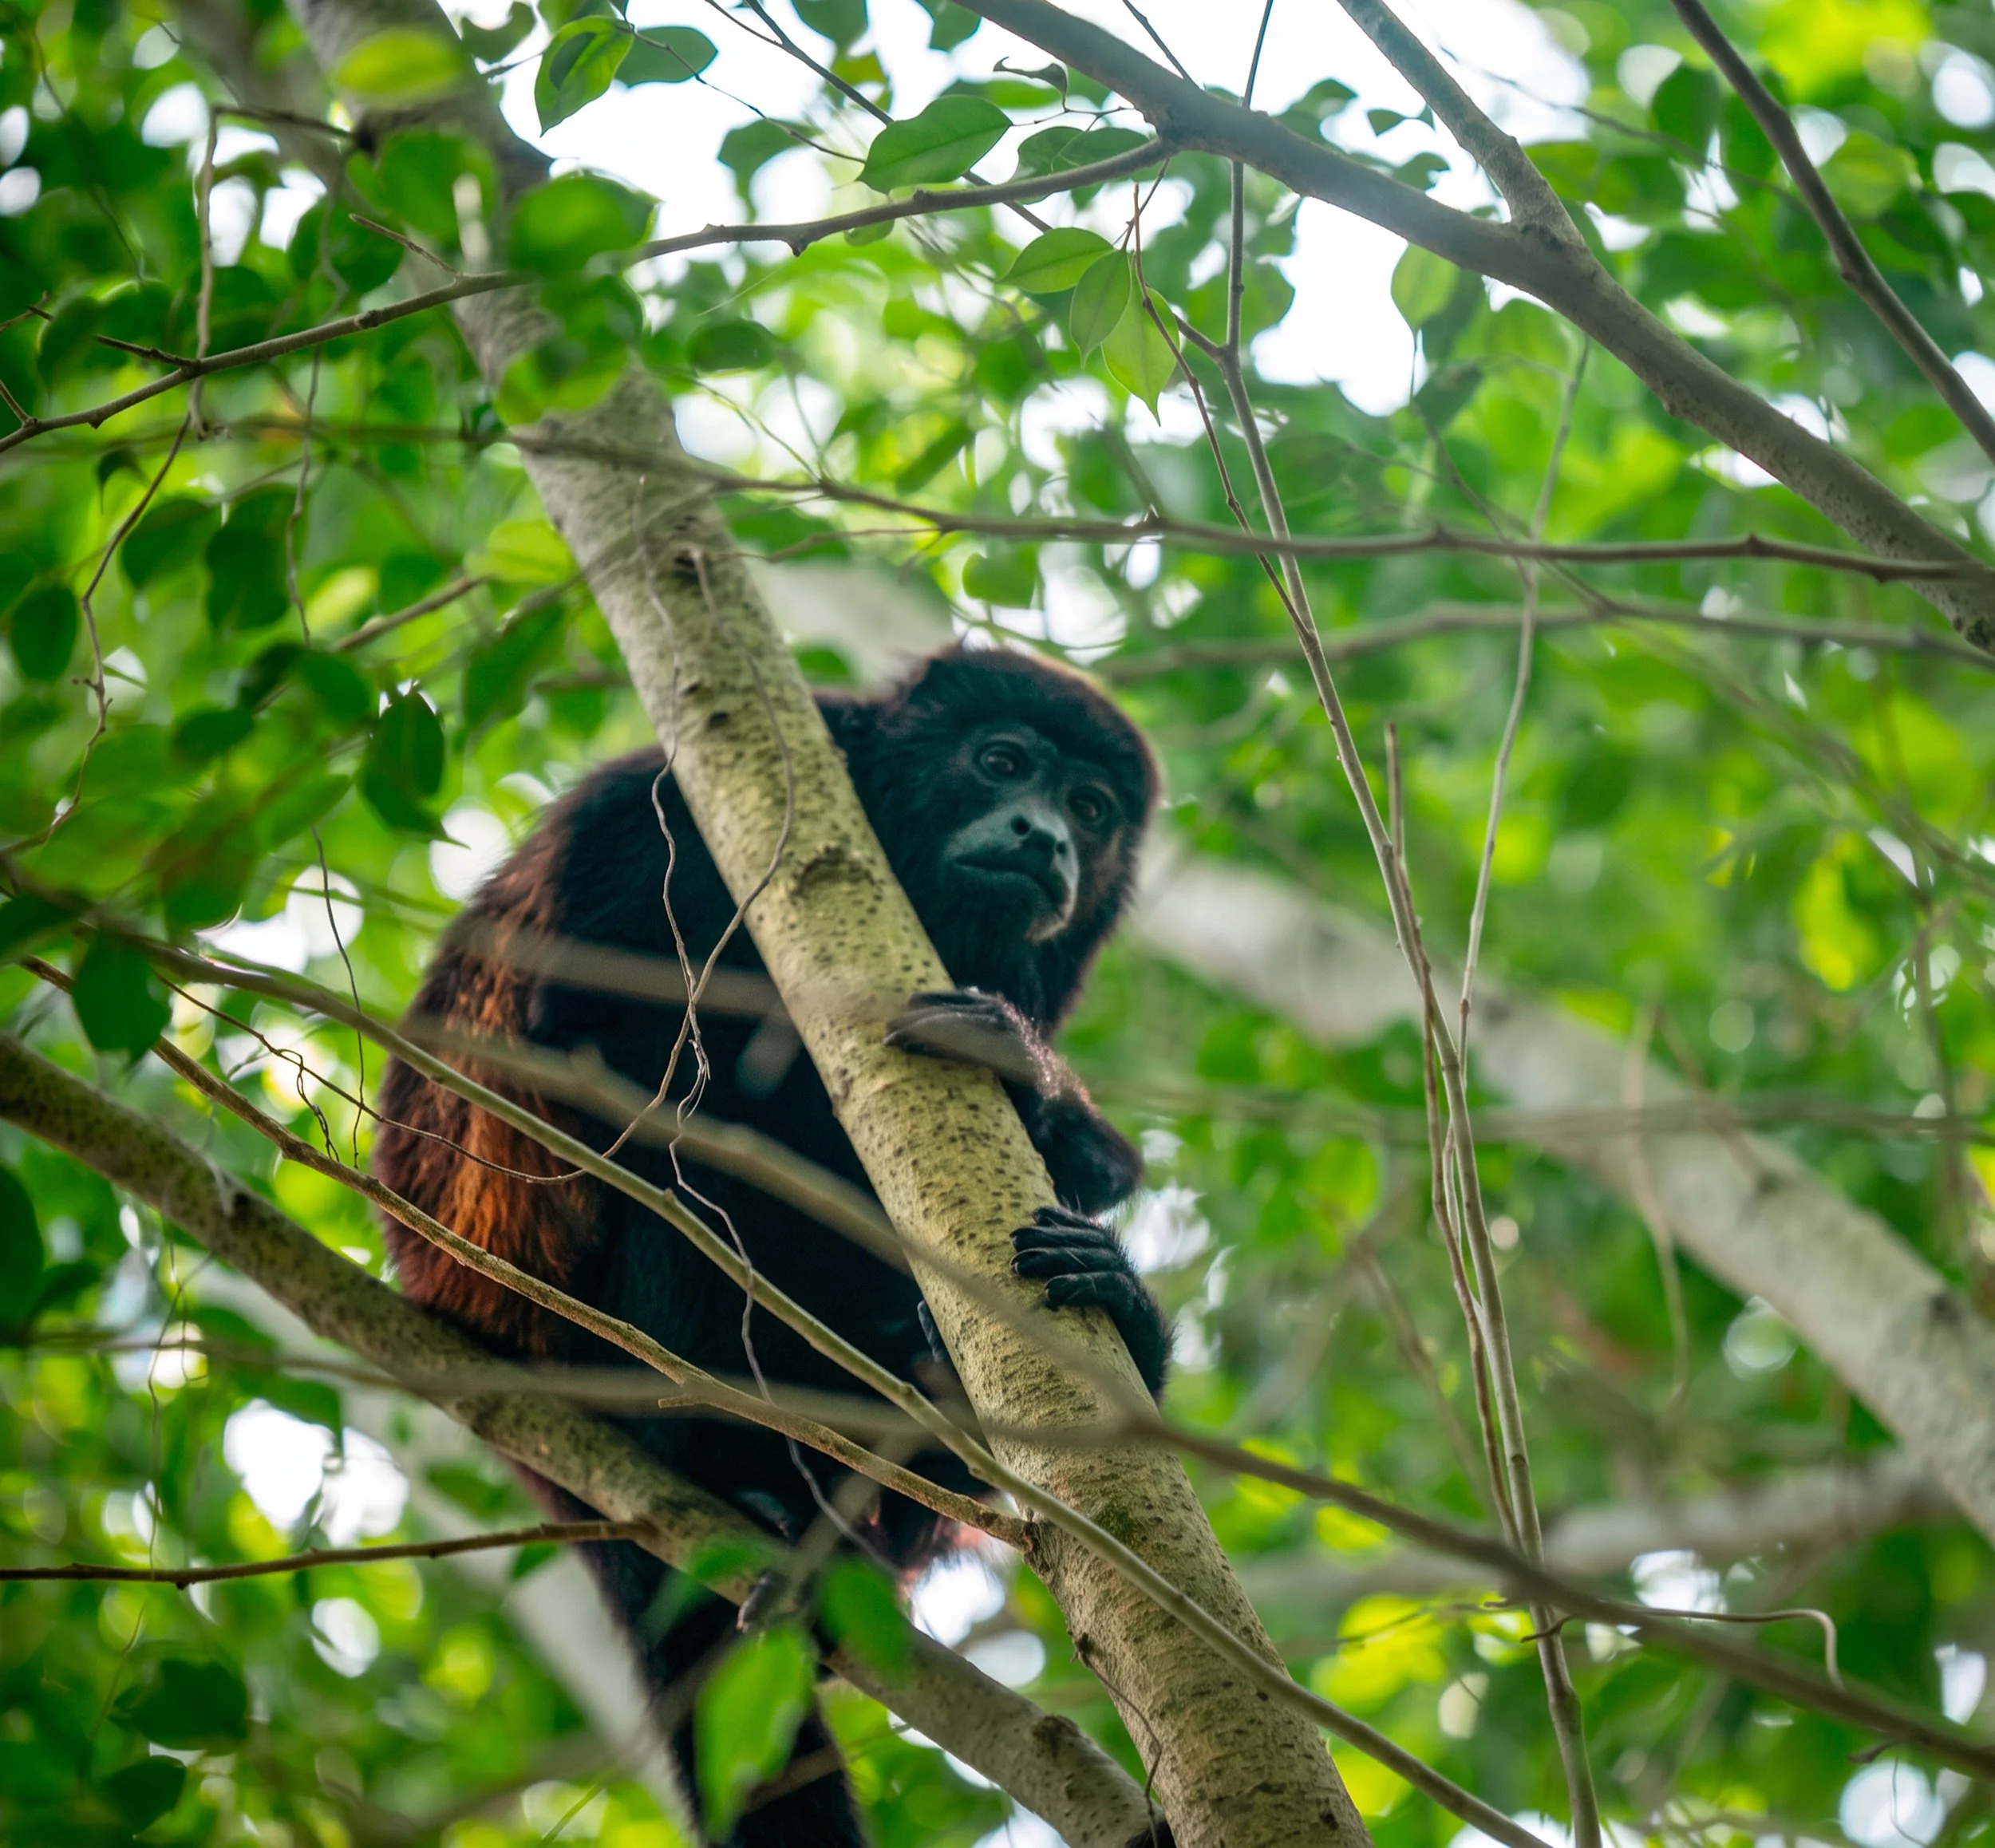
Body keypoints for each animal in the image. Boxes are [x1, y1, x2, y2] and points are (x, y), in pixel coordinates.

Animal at [372, 645, 1169, 1847]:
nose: (1046, 838)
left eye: (1091, 809)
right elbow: (603, 1045)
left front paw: (1041, 1094)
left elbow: (1092, 1169)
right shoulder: (652, 816)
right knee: (689, 1187)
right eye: (1001, 763)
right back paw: (750, 1487)